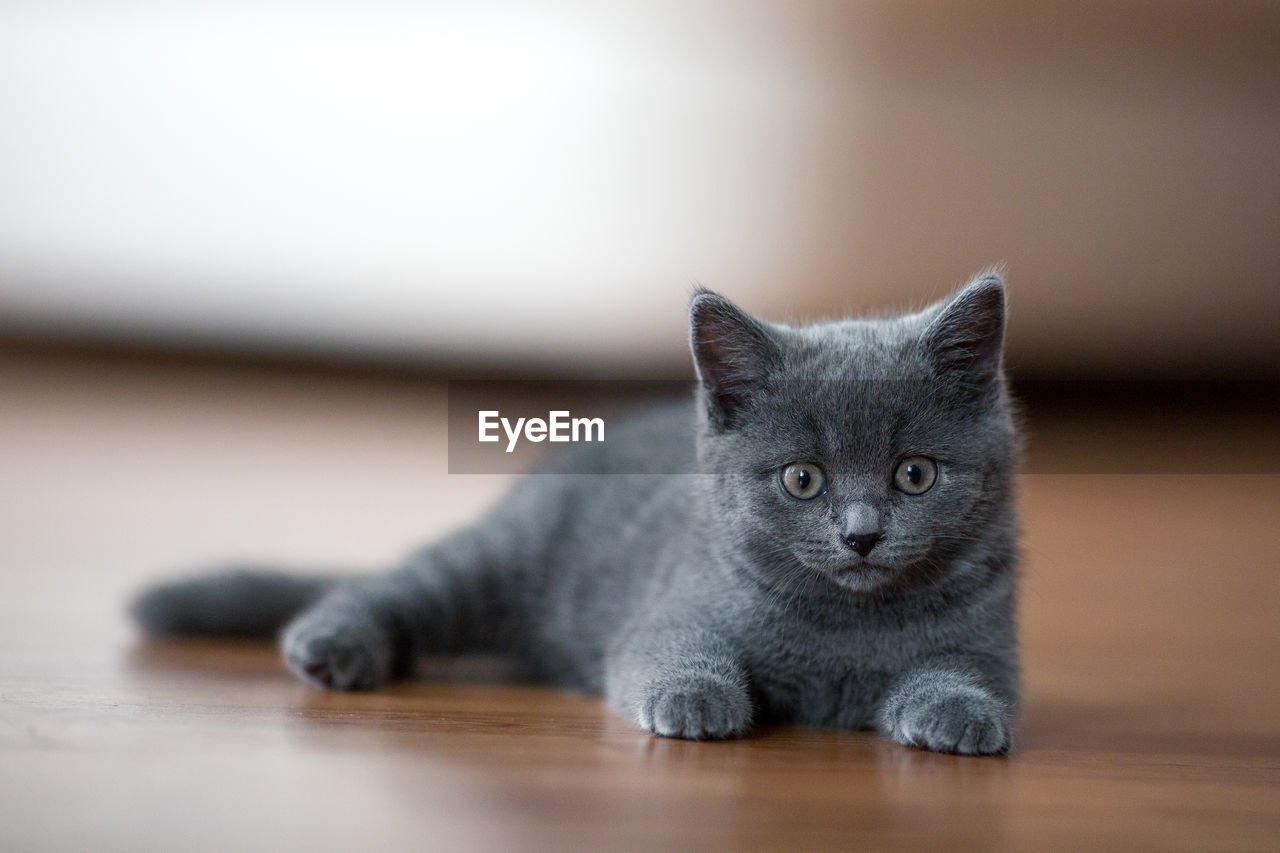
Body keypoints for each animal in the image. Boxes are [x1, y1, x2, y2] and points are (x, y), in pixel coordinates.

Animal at [132, 272, 1018, 753]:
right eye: (802, 479)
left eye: (914, 474)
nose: (862, 534)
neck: (845, 628)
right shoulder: (675, 607)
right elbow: (670, 649)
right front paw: (695, 699)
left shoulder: (990, 642)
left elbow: (966, 673)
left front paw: (958, 714)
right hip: (500, 558)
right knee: (391, 583)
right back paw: (332, 645)